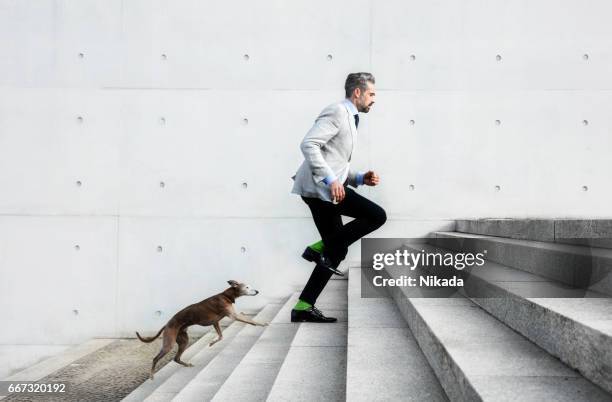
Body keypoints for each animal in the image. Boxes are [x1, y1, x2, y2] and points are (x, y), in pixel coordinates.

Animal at [136, 282, 268, 378]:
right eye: (247, 287)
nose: (257, 291)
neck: (226, 296)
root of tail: (167, 324)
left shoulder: (215, 322)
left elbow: (221, 336)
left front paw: (211, 343)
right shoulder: (233, 316)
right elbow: (251, 321)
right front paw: (263, 323)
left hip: (183, 340)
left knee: (176, 358)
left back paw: (186, 364)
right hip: (169, 343)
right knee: (155, 358)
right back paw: (151, 375)